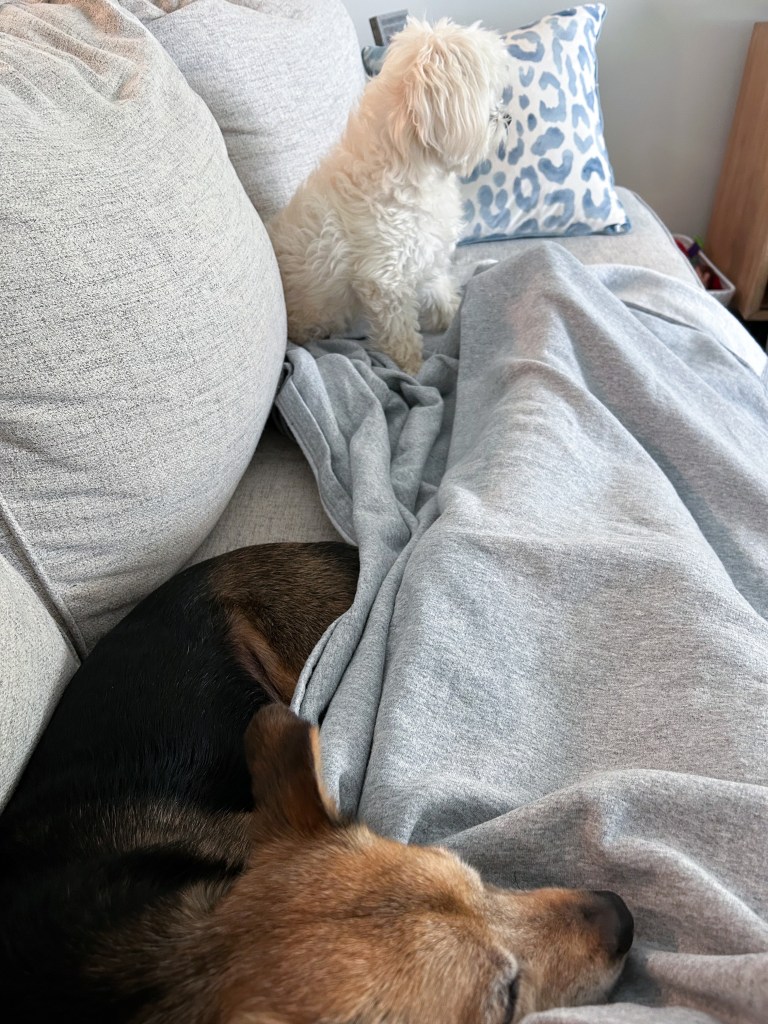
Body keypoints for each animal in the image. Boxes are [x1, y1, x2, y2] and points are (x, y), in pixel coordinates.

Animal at [267, 19, 513, 375]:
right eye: (486, 97)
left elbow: (440, 290)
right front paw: (412, 370)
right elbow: (400, 336)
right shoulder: (385, 284)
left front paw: (454, 315)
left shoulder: (427, 252)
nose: (507, 117)